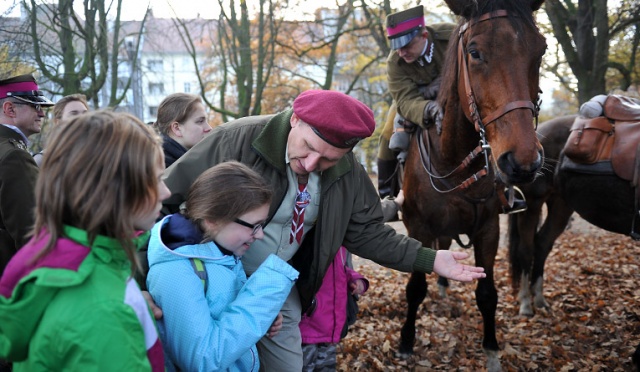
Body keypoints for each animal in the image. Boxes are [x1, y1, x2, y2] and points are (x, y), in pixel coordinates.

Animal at [400, 0, 544, 370]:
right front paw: (406, 341)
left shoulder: (489, 229)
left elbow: (487, 294)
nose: (522, 162)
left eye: (540, 51)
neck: (451, 161)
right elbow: (415, 287)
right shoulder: (417, 226)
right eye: (475, 53)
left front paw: (491, 350)